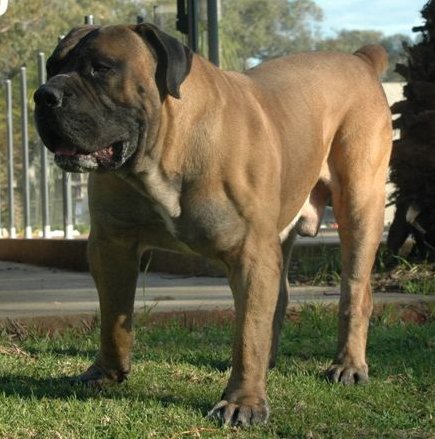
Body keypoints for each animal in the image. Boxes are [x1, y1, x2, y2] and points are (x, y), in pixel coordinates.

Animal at [34, 23, 394, 426]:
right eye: (51, 67)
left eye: (102, 68)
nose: (43, 95)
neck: (165, 151)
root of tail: (360, 59)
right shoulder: (111, 245)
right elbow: (112, 317)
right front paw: (105, 374)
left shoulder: (252, 254)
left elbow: (248, 334)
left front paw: (243, 402)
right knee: (279, 300)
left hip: (359, 205)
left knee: (354, 292)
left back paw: (348, 365)